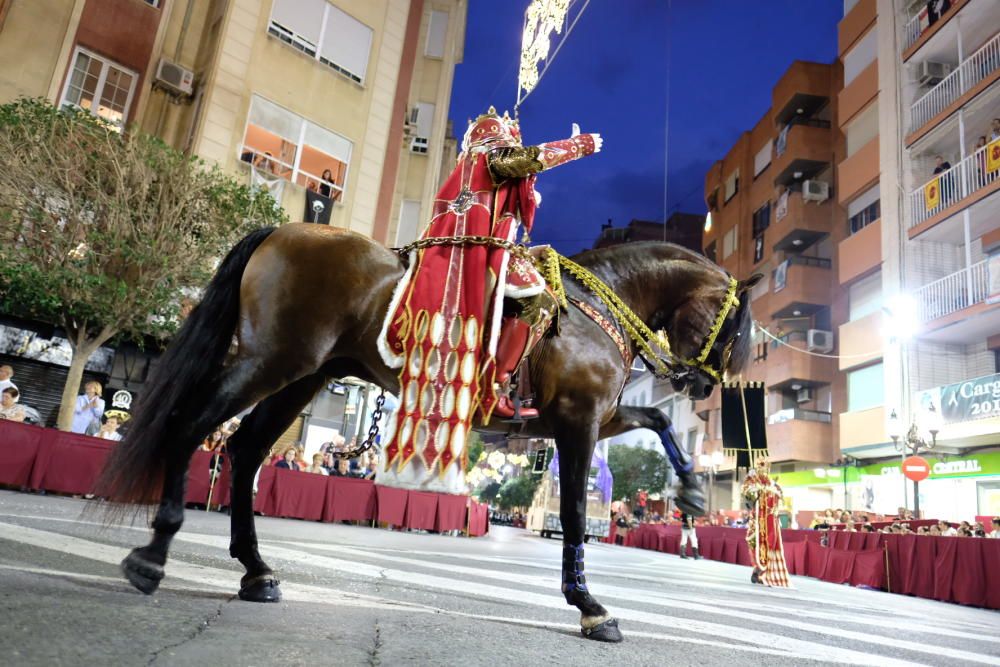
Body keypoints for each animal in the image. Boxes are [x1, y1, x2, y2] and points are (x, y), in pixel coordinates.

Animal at [99, 223, 756, 640]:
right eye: (735, 328)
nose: (704, 385)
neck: (601, 302)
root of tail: (282, 232)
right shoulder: (579, 418)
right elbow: (572, 512)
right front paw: (590, 606)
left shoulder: (598, 414)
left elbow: (659, 421)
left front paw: (691, 492)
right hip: (269, 361)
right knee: (192, 426)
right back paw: (153, 554)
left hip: (300, 376)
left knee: (245, 450)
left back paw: (255, 571)